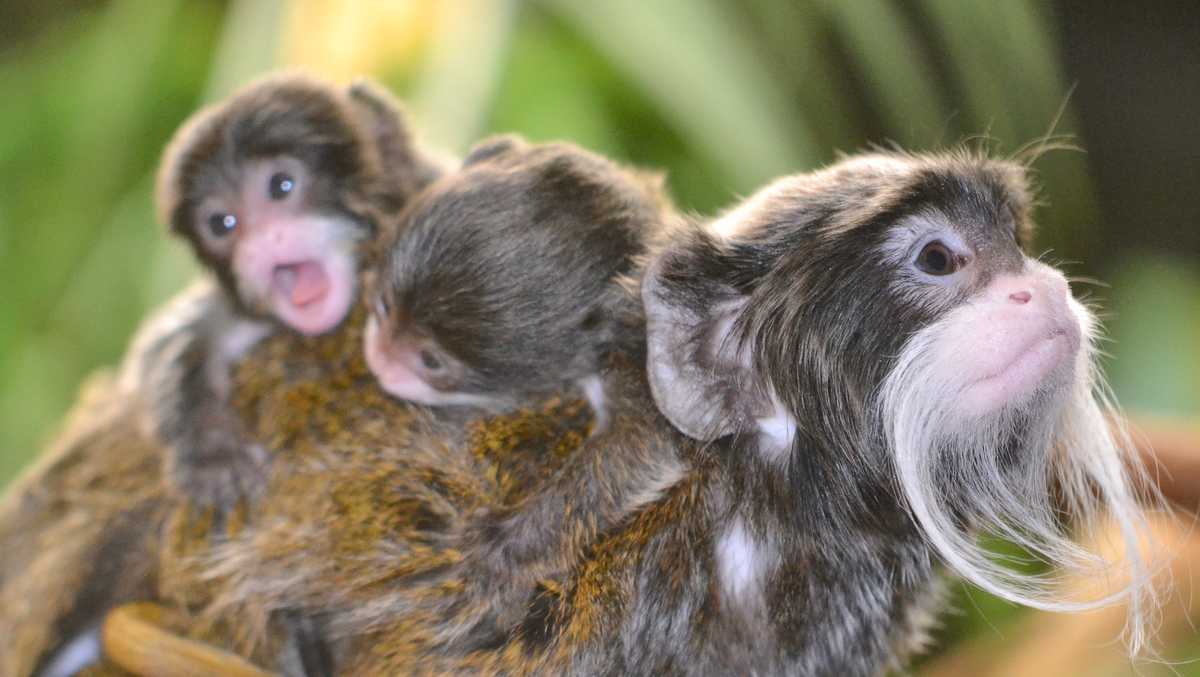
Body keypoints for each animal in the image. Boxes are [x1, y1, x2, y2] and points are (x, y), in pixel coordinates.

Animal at [360, 135, 691, 643]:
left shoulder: (640, 353)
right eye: (383, 307)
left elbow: (644, 441)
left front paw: (505, 551)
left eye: (430, 361)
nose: (379, 359)